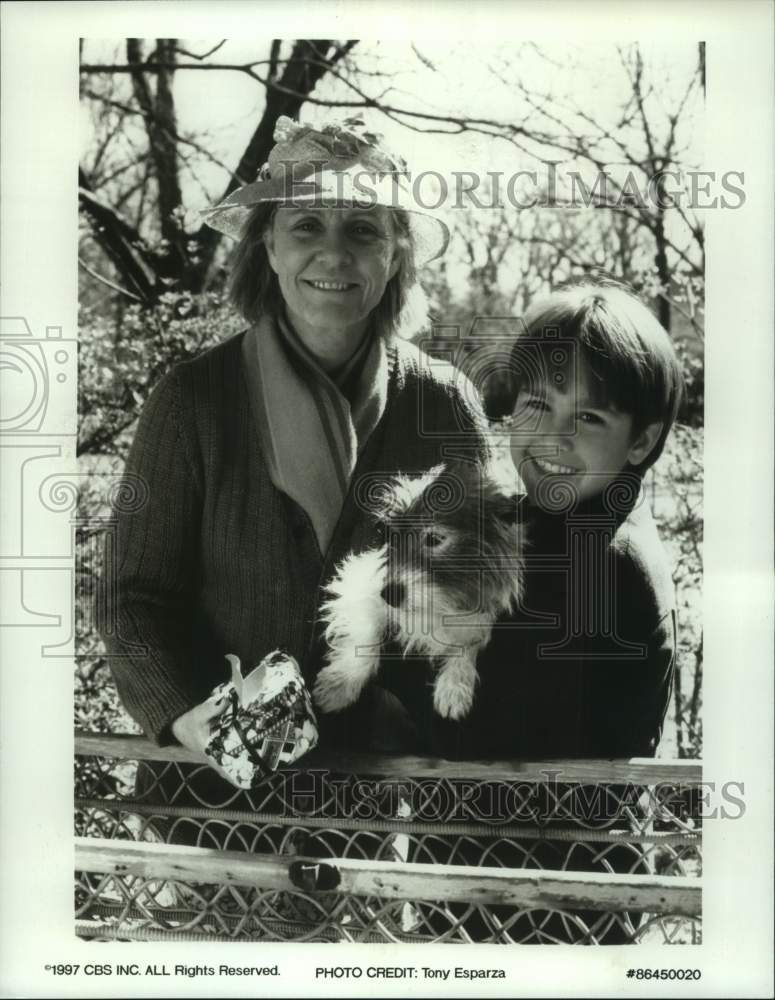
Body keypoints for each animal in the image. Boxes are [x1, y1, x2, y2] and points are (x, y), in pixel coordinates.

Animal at [312, 460, 524, 720]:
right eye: (386, 535)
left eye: (434, 538)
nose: (389, 595)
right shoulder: (361, 582)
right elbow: (366, 631)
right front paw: (342, 681)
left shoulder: (483, 603)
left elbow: (468, 641)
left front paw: (455, 683)